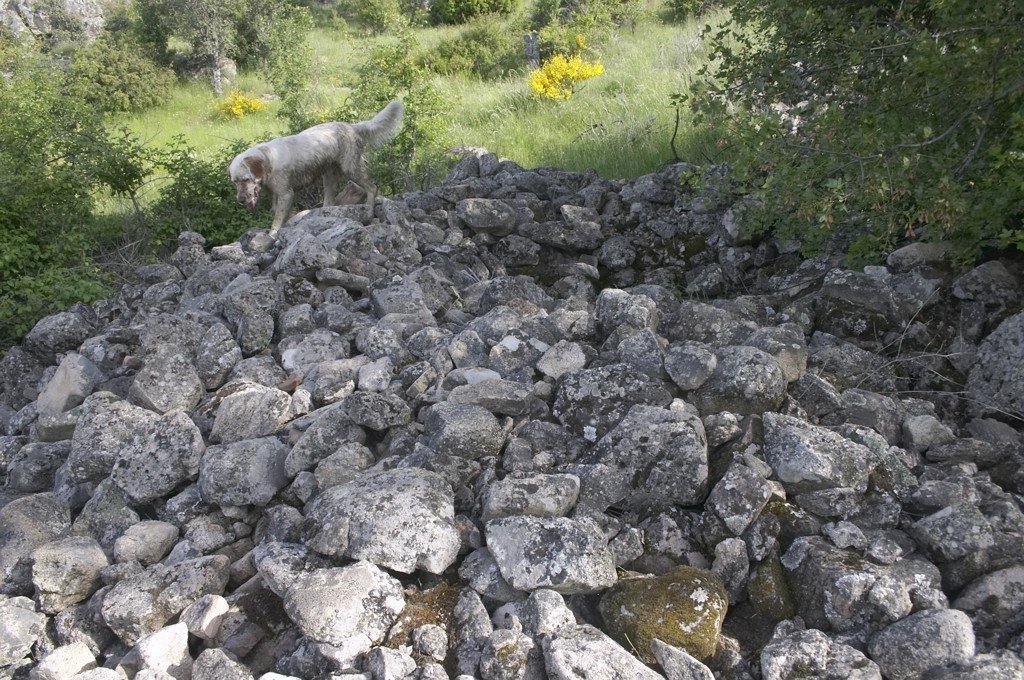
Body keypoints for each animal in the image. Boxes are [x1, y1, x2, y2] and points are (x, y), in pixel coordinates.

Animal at [229, 99, 403, 235]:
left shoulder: (286, 194)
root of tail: (351, 127)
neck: (269, 160)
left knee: (372, 187)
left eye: (246, 179)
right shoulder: (278, 195)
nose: (240, 200)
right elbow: (278, 213)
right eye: (235, 181)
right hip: (329, 176)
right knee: (330, 202)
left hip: (351, 169)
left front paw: (273, 234)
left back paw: (368, 208)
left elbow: (277, 220)